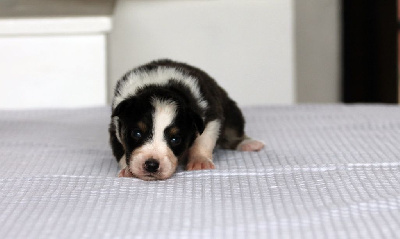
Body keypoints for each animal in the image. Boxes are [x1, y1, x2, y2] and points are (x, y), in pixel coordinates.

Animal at [110, 58, 266, 180]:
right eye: (136, 133)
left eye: (175, 139)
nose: (151, 165)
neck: (161, 85)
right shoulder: (115, 126)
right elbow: (121, 151)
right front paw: (127, 170)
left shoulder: (211, 116)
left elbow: (204, 141)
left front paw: (200, 161)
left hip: (232, 113)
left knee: (233, 133)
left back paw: (249, 144)